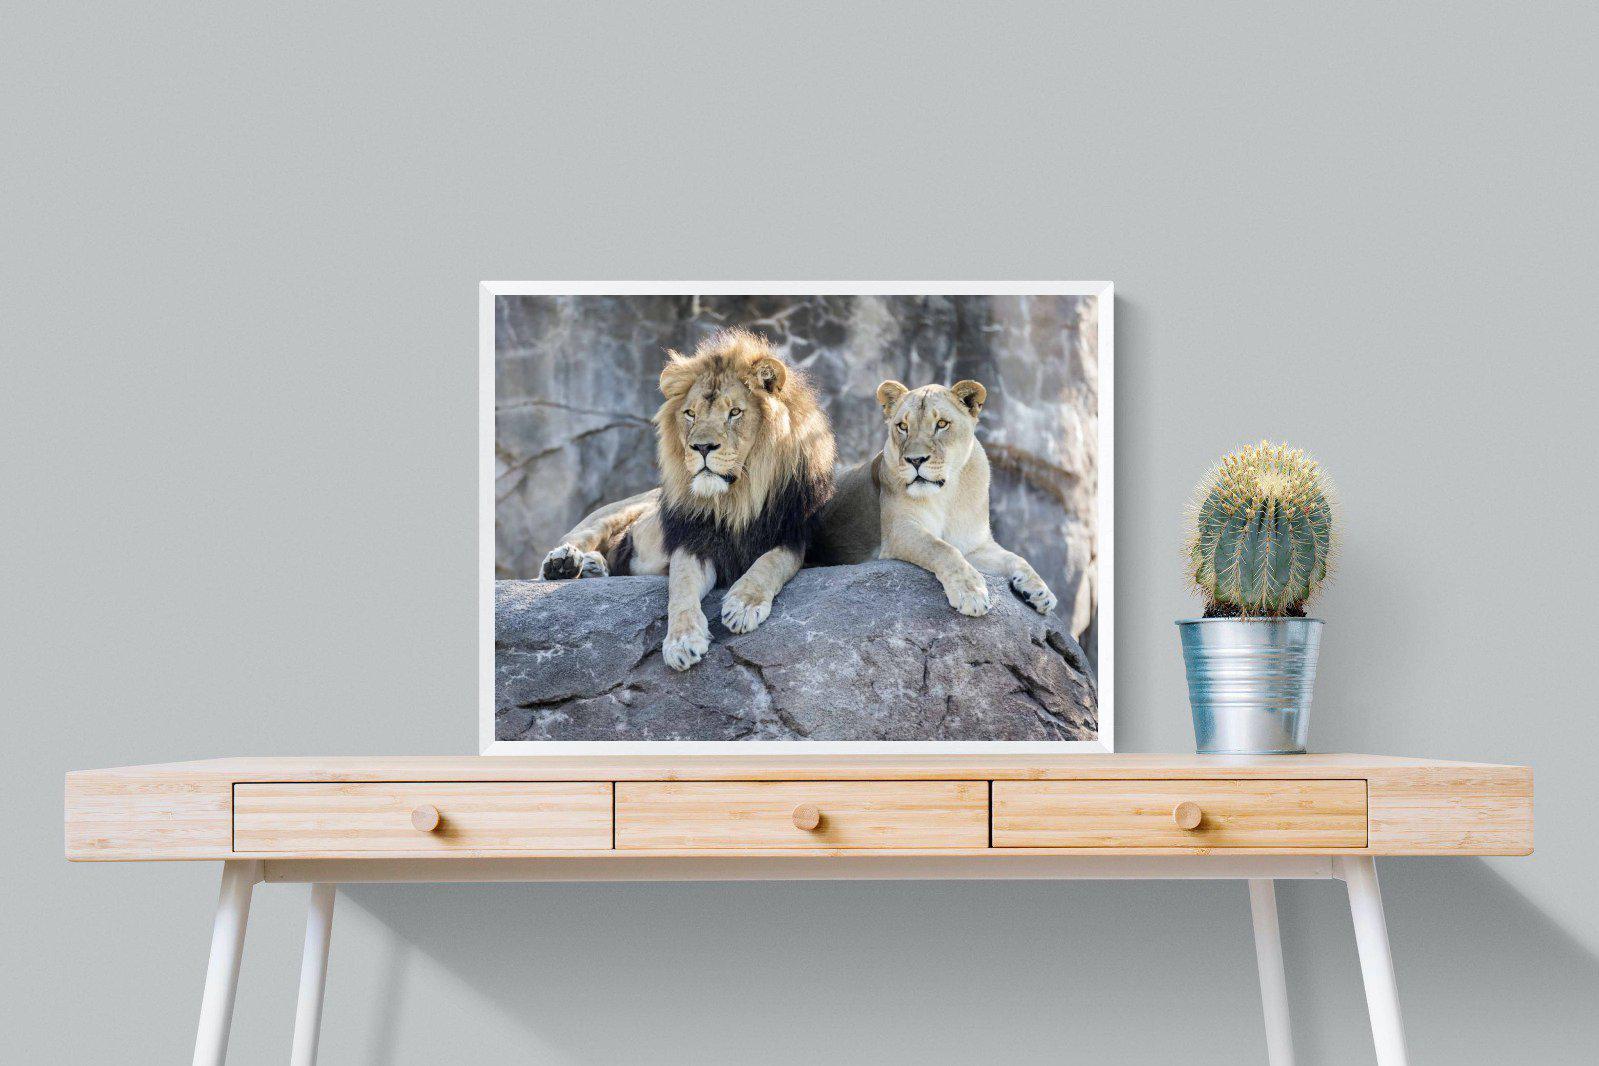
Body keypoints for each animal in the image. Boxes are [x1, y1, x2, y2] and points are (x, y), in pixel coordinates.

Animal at [539, 329, 836, 670]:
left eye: (734, 412)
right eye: (690, 414)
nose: (702, 447)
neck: (736, 500)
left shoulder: (794, 537)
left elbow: (770, 563)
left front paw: (743, 605)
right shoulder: (693, 540)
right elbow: (680, 587)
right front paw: (682, 641)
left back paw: (592, 566)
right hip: (613, 513)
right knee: (576, 538)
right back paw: (564, 563)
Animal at [809, 379, 1057, 618]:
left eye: (942, 424)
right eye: (903, 426)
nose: (915, 460)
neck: (947, 494)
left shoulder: (974, 545)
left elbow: (1016, 558)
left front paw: (1040, 591)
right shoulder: (900, 530)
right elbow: (942, 548)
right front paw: (971, 593)